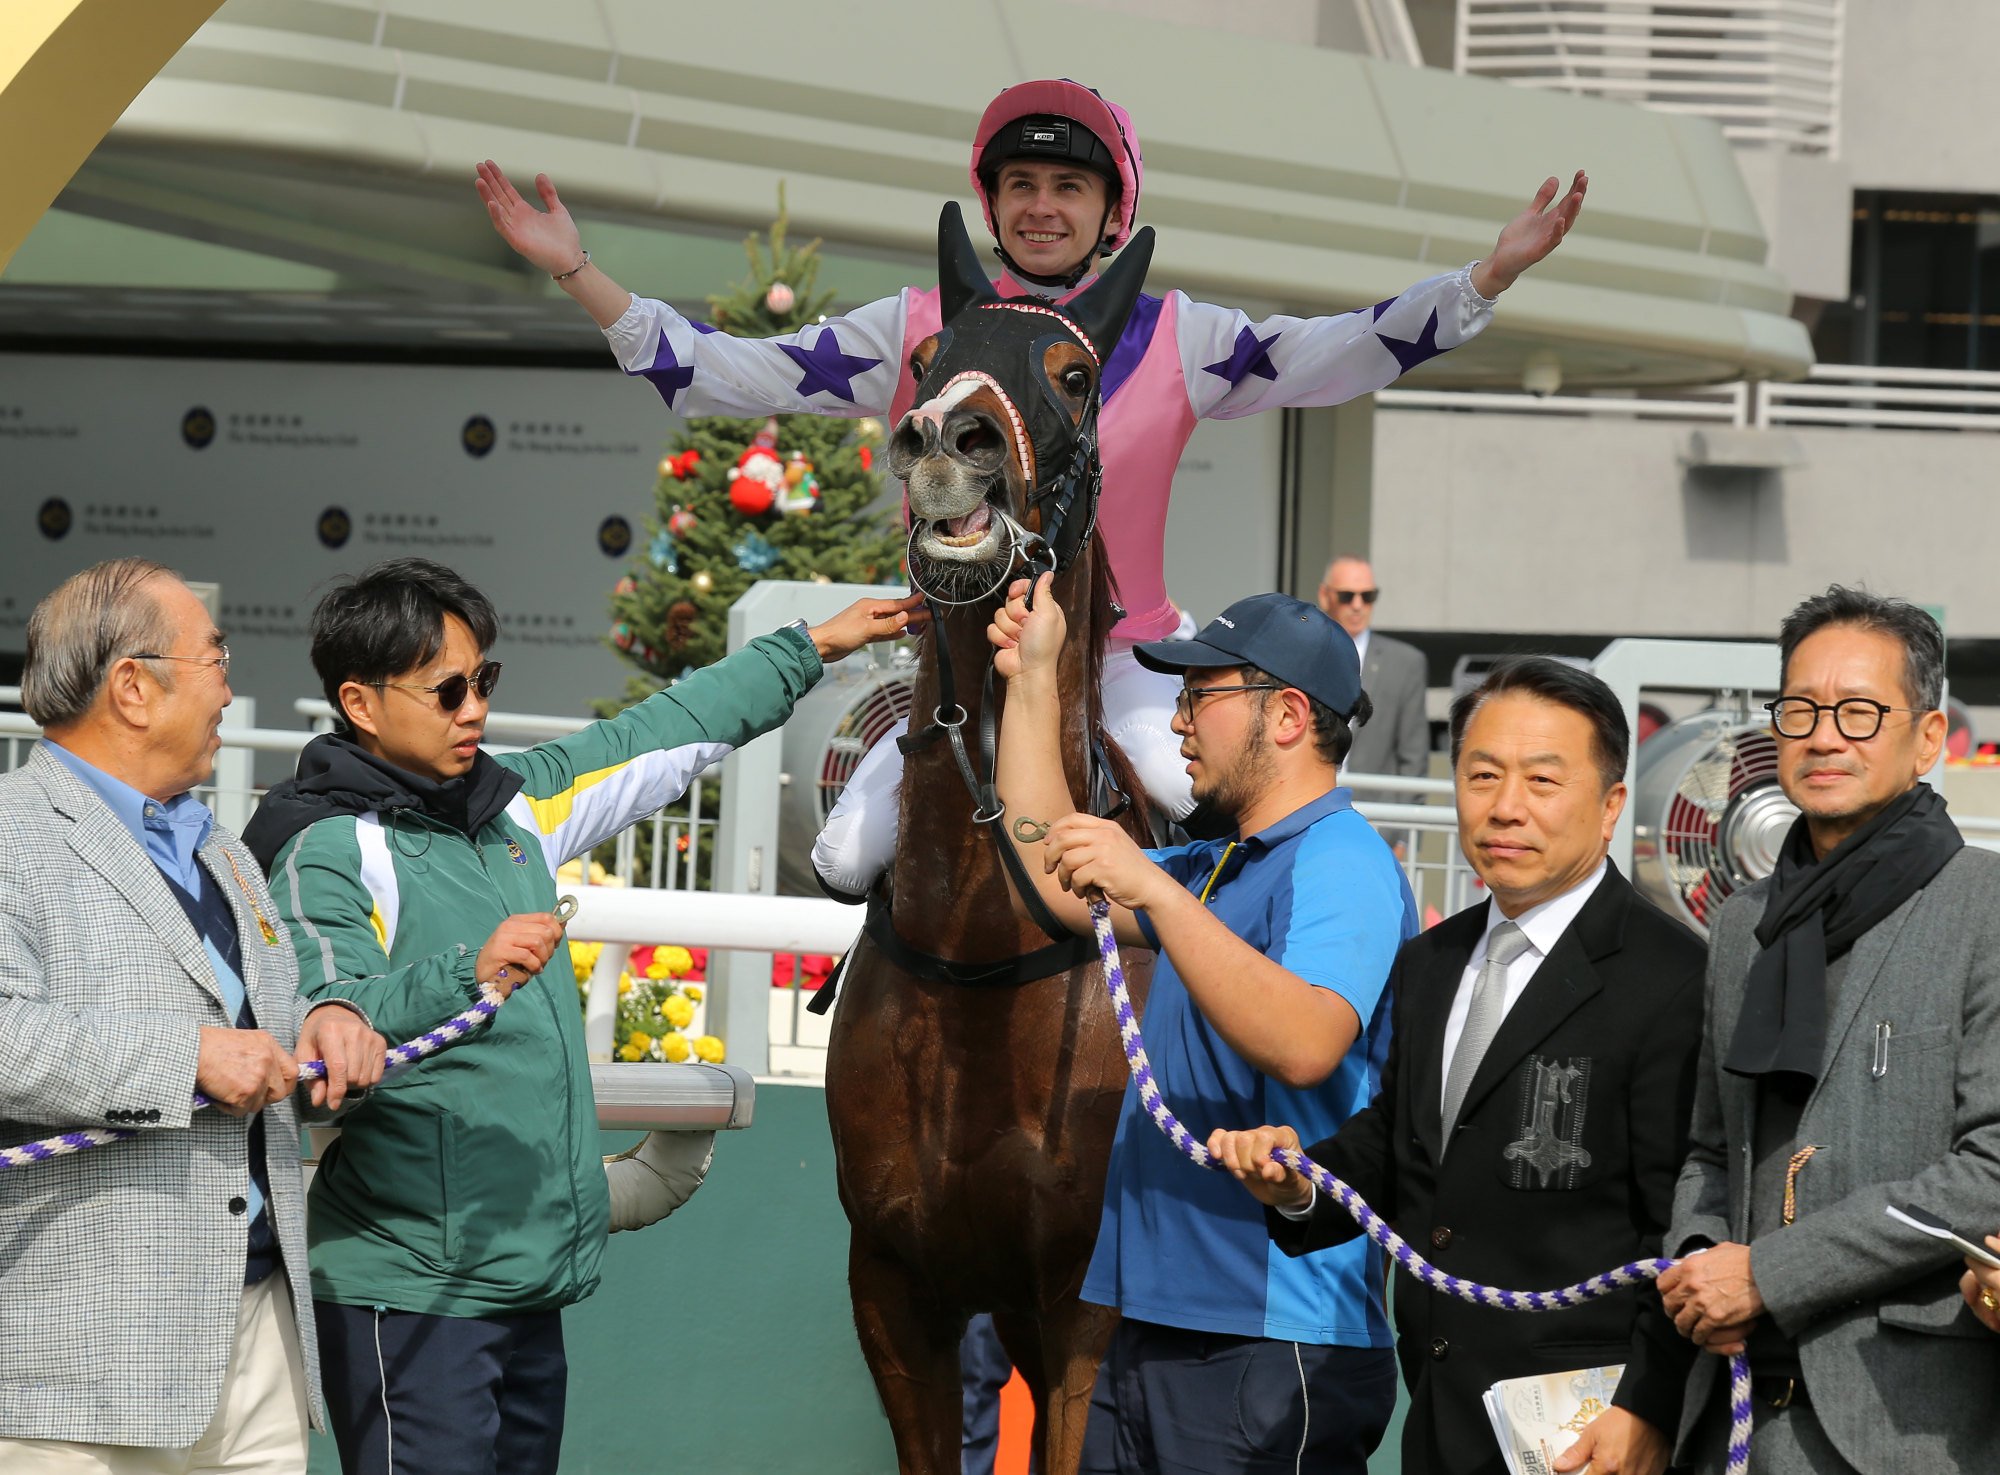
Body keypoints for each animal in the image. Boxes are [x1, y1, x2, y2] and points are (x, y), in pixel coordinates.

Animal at [824, 197, 1160, 1471]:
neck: (980, 945)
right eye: (924, 356)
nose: (943, 438)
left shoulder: (1082, 1304)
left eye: (1076, 375)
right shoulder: (893, 1285)